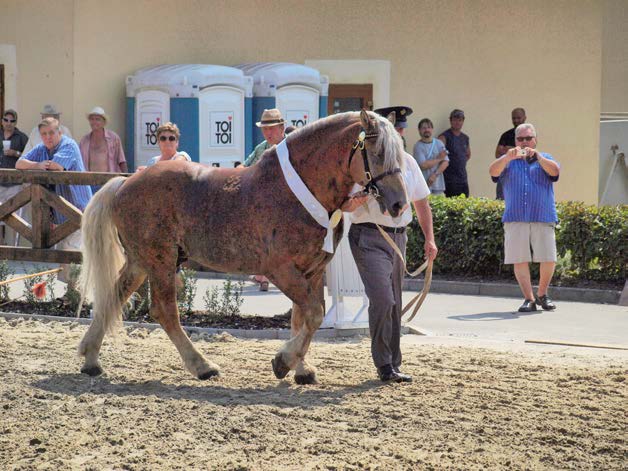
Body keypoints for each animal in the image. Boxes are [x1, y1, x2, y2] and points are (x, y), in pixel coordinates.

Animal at [77, 111, 408, 388]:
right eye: (377, 153)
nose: (399, 204)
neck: (299, 191)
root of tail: (124, 184)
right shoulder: (281, 271)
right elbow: (314, 314)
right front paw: (283, 362)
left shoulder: (312, 271)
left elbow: (302, 317)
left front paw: (301, 368)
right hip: (160, 262)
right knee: (164, 311)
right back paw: (202, 366)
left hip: (140, 261)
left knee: (112, 298)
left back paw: (91, 358)